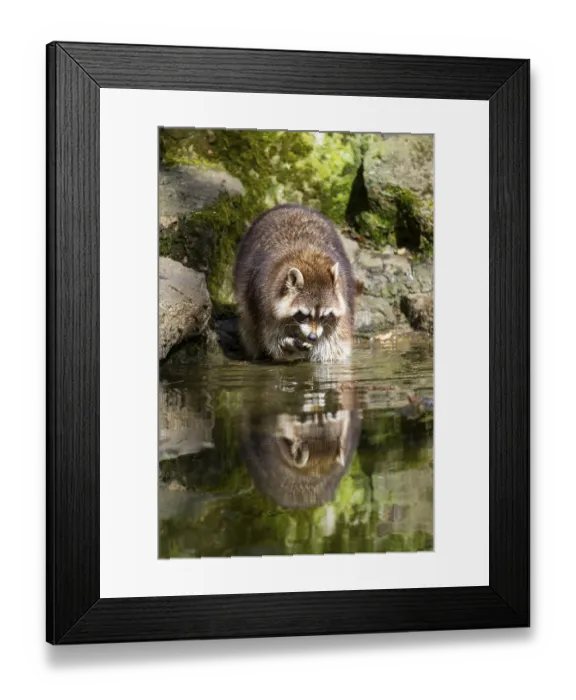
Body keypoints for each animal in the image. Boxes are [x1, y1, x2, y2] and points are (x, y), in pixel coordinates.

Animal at [233, 204, 362, 362]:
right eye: (303, 314)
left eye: (324, 316)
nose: (312, 337)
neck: (308, 256)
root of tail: (291, 206)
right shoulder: (265, 303)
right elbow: (274, 341)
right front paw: (287, 344)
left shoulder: (342, 303)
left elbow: (333, 344)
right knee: (249, 325)